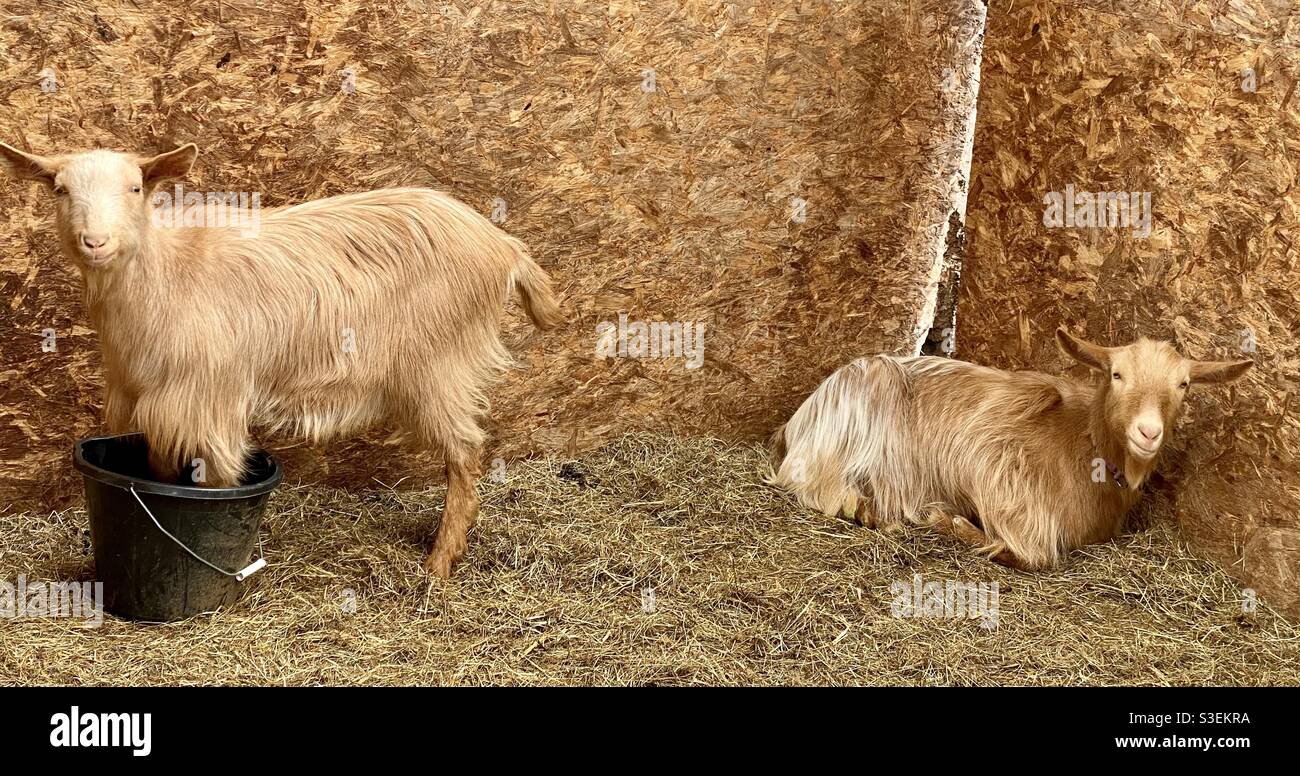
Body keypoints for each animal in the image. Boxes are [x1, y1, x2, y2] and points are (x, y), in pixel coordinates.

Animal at [0, 142, 563, 578]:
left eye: (136, 188)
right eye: (59, 189)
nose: (95, 242)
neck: (166, 274)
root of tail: (504, 246)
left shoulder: (212, 399)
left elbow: (219, 483)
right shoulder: (159, 404)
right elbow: (160, 471)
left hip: (438, 363)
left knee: (465, 451)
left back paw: (440, 563)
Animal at [769, 330, 1252, 570]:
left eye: (1183, 384)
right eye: (1117, 374)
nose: (1148, 432)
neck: (1082, 443)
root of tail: (798, 420)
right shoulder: (991, 456)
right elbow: (1032, 554)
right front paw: (944, 520)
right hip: (860, 406)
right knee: (816, 486)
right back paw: (872, 511)